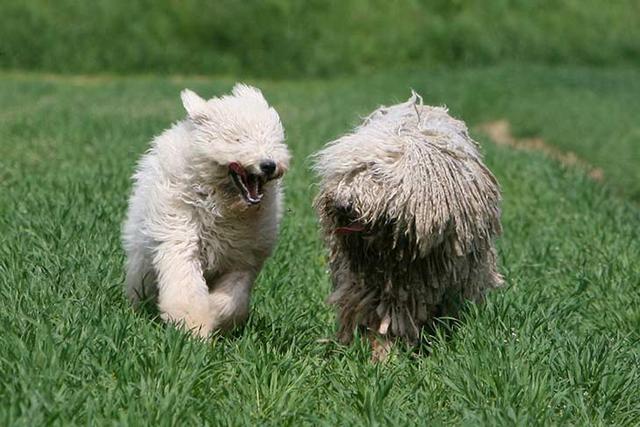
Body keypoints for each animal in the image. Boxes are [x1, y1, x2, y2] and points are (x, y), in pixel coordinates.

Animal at [120, 83, 290, 338]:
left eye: (273, 140)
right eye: (238, 138)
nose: (269, 165)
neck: (223, 204)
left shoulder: (243, 259)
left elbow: (233, 301)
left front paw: (214, 315)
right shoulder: (180, 239)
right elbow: (186, 287)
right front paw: (193, 327)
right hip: (142, 256)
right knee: (141, 281)